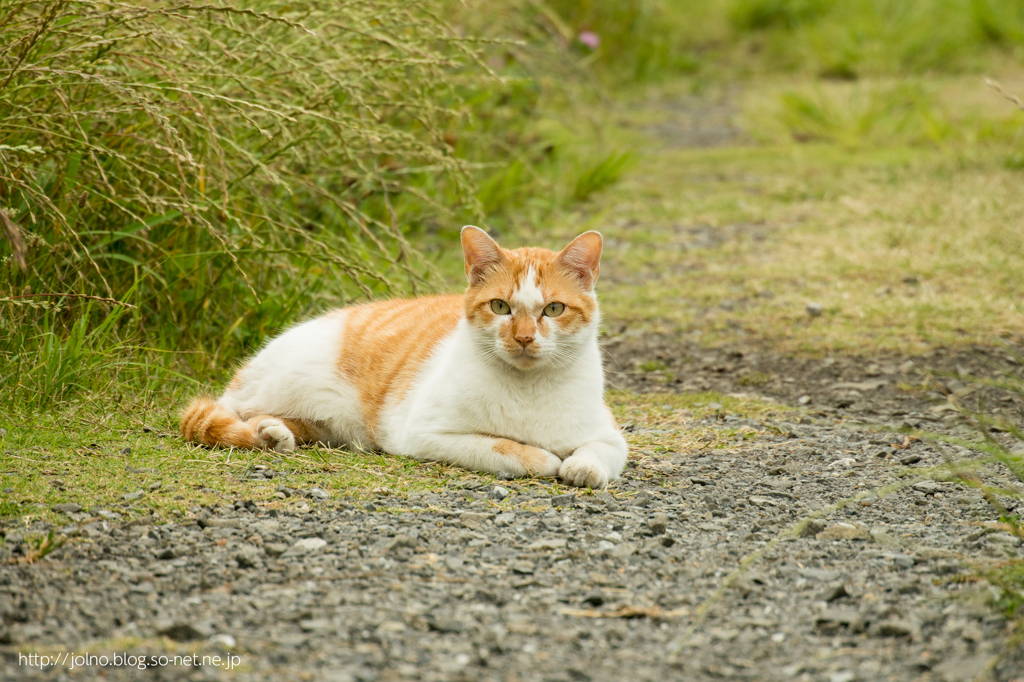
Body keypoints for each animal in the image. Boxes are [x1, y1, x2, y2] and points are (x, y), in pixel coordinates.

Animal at [181, 225, 626, 485]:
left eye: (554, 309)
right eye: (500, 307)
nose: (524, 338)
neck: (527, 387)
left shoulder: (610, 436)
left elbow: (597, 455)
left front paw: (581, 467)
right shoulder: (426, 434)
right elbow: (507, 449)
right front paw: (544, 458)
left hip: (334, 427)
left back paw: (274, 435)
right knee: (233, 416)